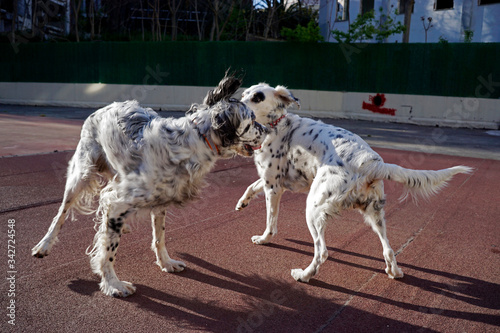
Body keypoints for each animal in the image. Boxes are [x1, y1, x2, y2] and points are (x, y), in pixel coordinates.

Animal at [30, 73, 266, 296]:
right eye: (252, 121)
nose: (266, 129)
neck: (193, 143)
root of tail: (105, 106)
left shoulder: (159, 202)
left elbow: (159, 238)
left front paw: (166, 263)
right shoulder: (120, 202)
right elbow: (108, 252)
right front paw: (112, 284)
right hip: (80, 175)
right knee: (61, 213)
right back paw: (44, 245)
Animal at [236, 83, 470, 282]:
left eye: (257, 97)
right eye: (244, 94)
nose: (235, 104)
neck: (277, 125)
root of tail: (370, 163)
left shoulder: (273, 186)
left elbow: (270, 222)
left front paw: (263, 239)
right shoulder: (270, 180)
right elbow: (251, 186)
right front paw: (242, 202)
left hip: (313, 208)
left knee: (322, 252)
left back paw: (304, 275)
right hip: (375, 213)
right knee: (388, 249)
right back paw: (394, 271)